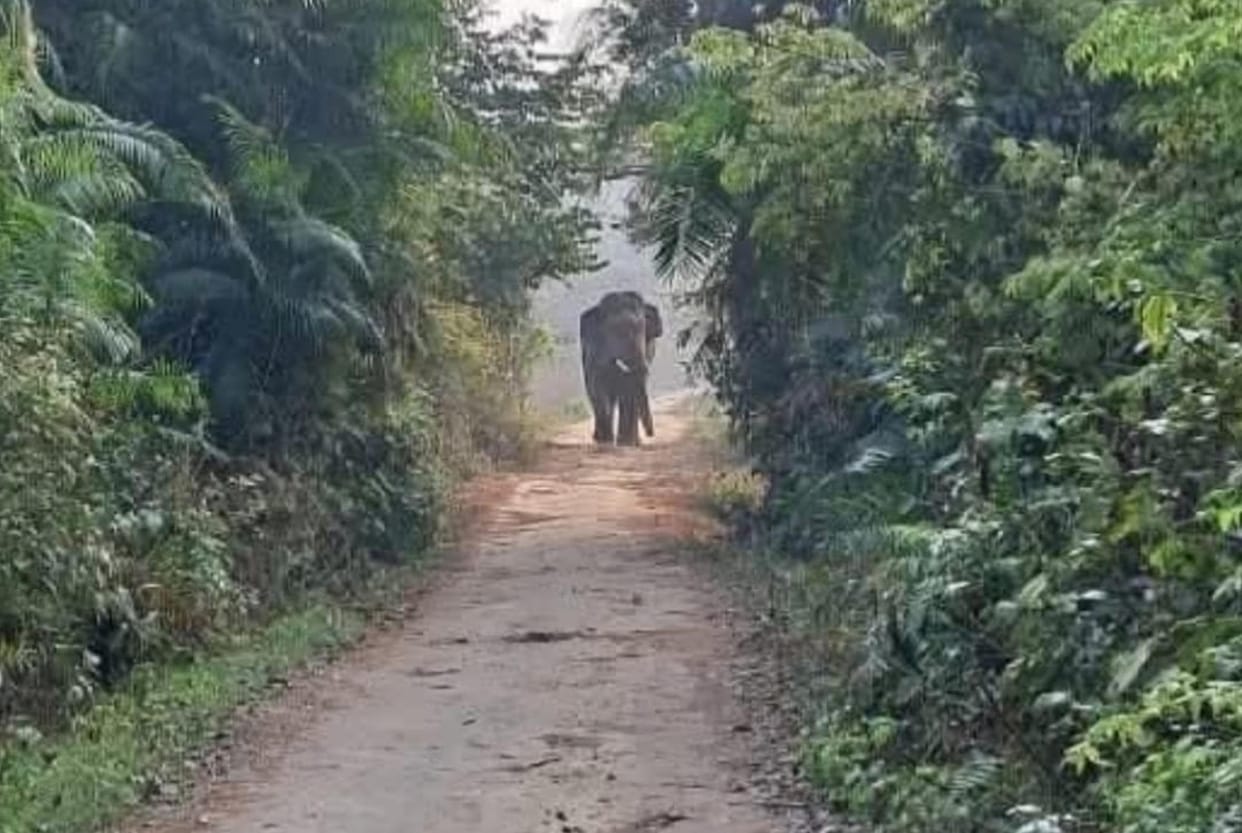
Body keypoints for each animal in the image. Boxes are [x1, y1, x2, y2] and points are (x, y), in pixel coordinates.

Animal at [579, 291, 663, 446]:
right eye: (614, 330)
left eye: (642, 328)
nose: (651, 434)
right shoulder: (593, 345)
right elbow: (598, 385)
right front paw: (606, 441)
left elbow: (629, 389)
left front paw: (626, 443)